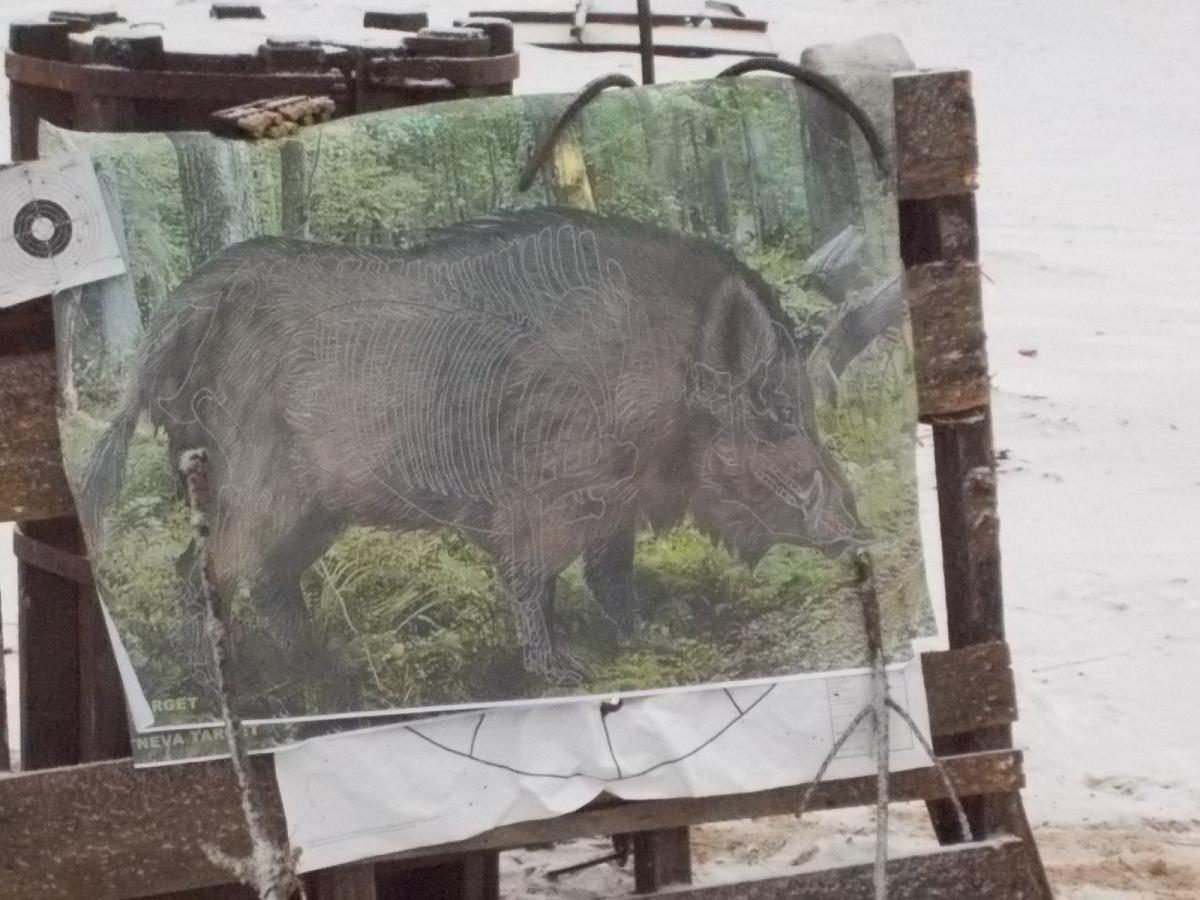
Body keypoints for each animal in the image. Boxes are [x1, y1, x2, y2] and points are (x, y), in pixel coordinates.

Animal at [81, 209, 864, 688]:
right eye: (778, 413)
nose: (858, 531)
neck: (662, 371)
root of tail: (187, 306)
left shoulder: (611, 504)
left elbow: (612, 575)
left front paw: (650, 636)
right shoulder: (546, 499)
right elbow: (535, 582)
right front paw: (565, 674)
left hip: (314, 509)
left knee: (271, 581)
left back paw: (325, 672)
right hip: (251, 484)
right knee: (200, 571)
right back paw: (225, 686)